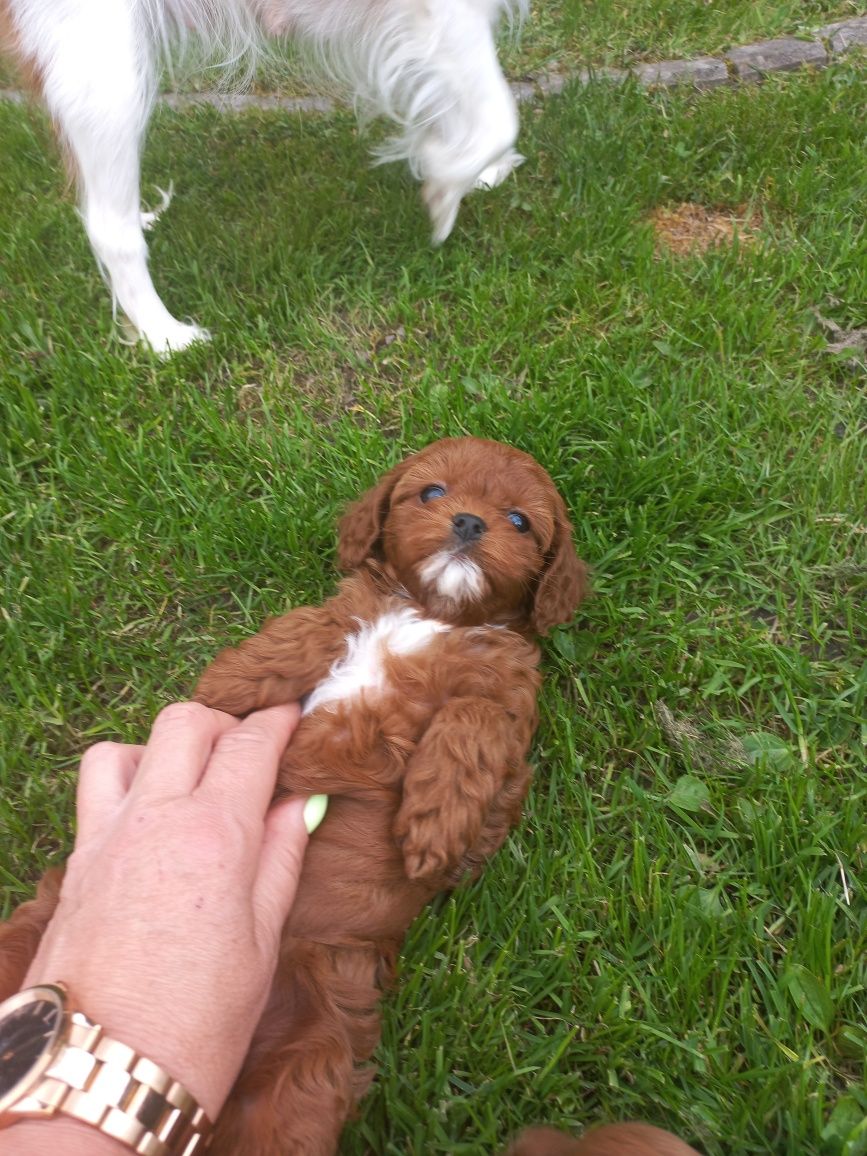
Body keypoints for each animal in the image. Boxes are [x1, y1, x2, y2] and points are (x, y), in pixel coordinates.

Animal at [0, 436, 587, 1151]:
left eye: (520, 521)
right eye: (432, 492)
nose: (470, 524)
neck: (432, 614)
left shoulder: (507, 711)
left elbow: (471, 720)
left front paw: (434, 824)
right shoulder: (352, 613)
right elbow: (309, 625)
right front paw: (228, 681)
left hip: (307, 1066)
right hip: (31, 939)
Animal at [3, 0, 527, 351]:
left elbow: (467, 104)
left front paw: (472, 167)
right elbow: (500, 117)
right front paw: (443, 183)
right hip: (106, 75)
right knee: (107, 228)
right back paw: (165, 335)